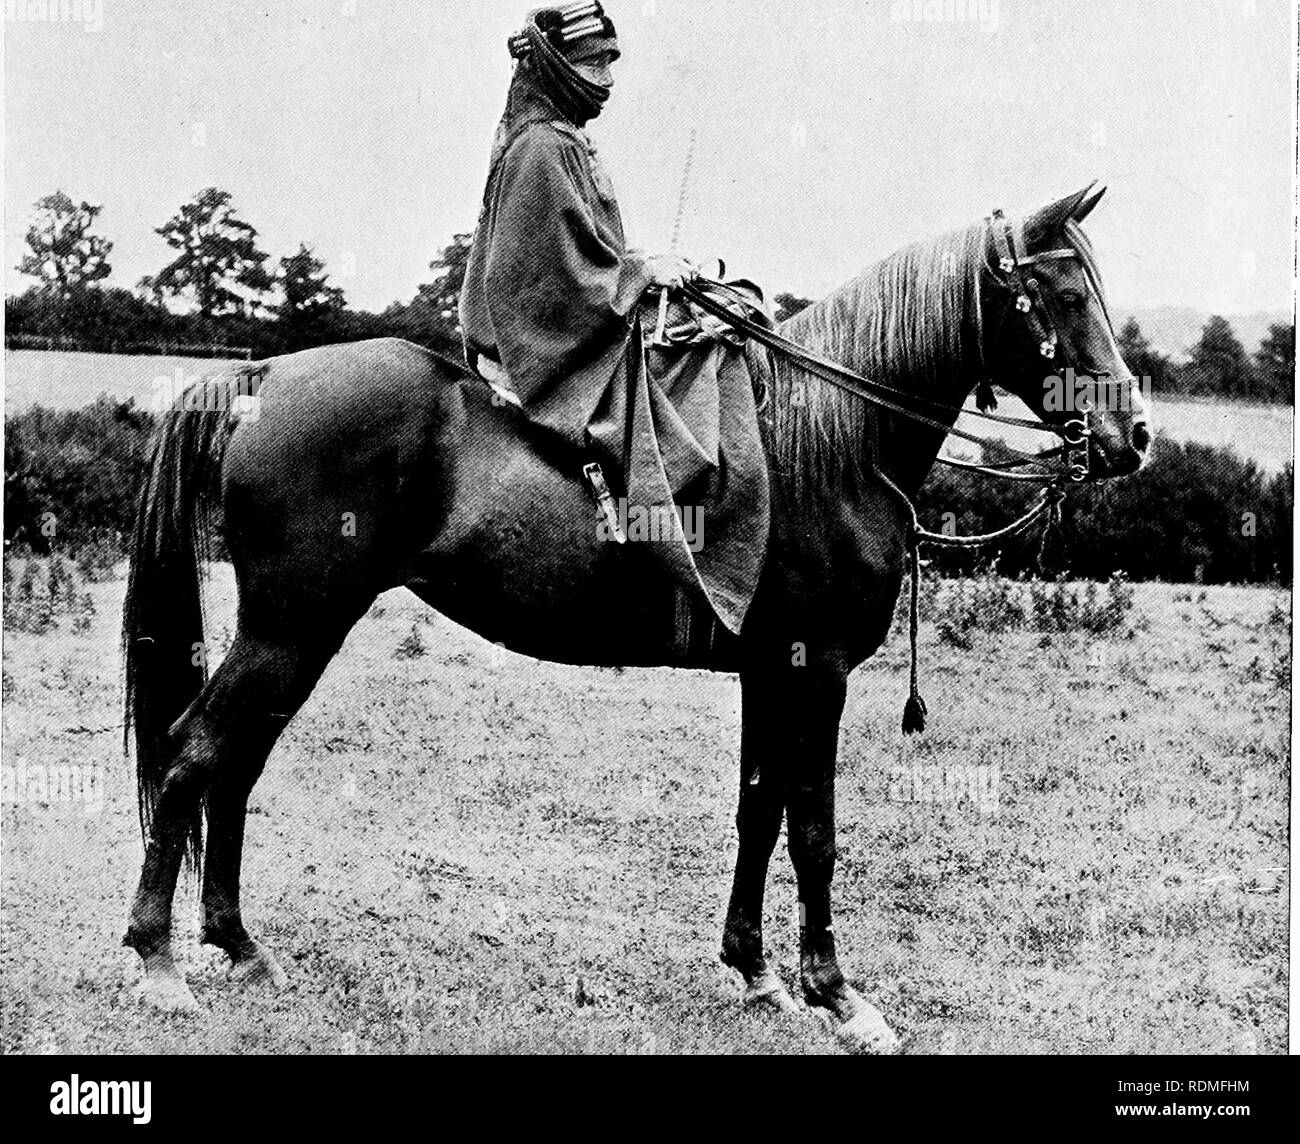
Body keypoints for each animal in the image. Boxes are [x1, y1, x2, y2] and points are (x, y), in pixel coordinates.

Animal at [121, 183, 1150, 1051]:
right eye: (1061, 294)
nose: (1132, 436)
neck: (830, 445)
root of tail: (260, 381)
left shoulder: (768, 671)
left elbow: (758, 811)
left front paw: (756, 972)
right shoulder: (814, 671)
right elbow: (813, 829)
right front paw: (836, 992)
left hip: (302, 632)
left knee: (234, 764)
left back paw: (237, 943)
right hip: (290, 627)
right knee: (191, 752)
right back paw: (159, 960)